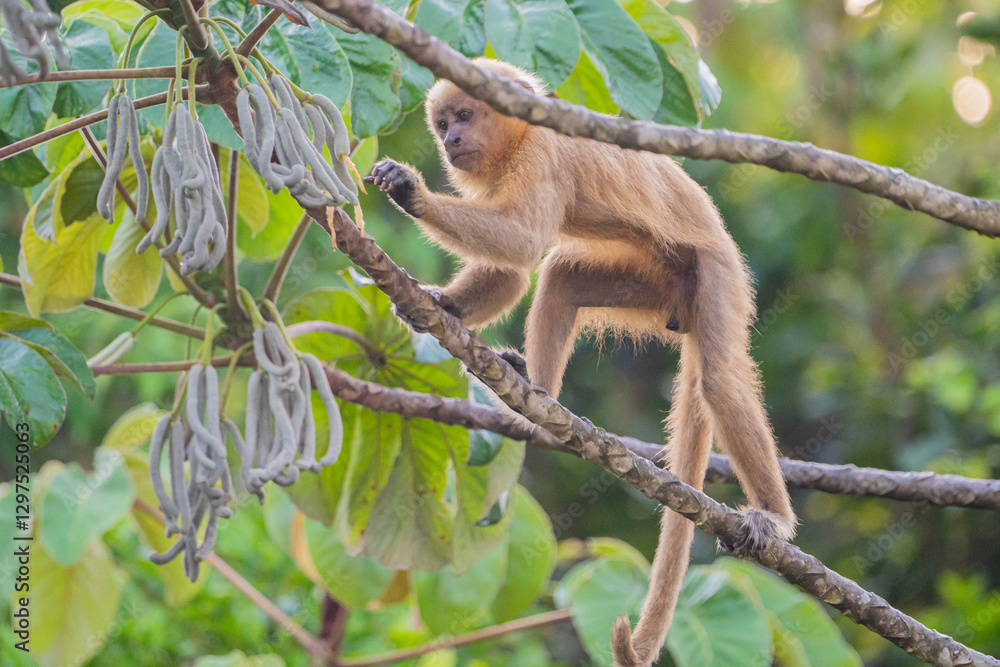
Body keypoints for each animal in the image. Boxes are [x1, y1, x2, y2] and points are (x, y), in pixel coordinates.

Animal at [364, 58, 796, 667]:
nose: (449, 140)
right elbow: (515, 270)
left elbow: (521, 243)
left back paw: (774, 516)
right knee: (562, 276)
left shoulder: (544, 153)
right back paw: (534, 393)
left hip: (716, 275)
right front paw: (439, 305)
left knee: (719, 381)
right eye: (444, 123)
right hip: (661, 285)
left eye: (465, 115)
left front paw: (411, 193)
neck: (523, 133)